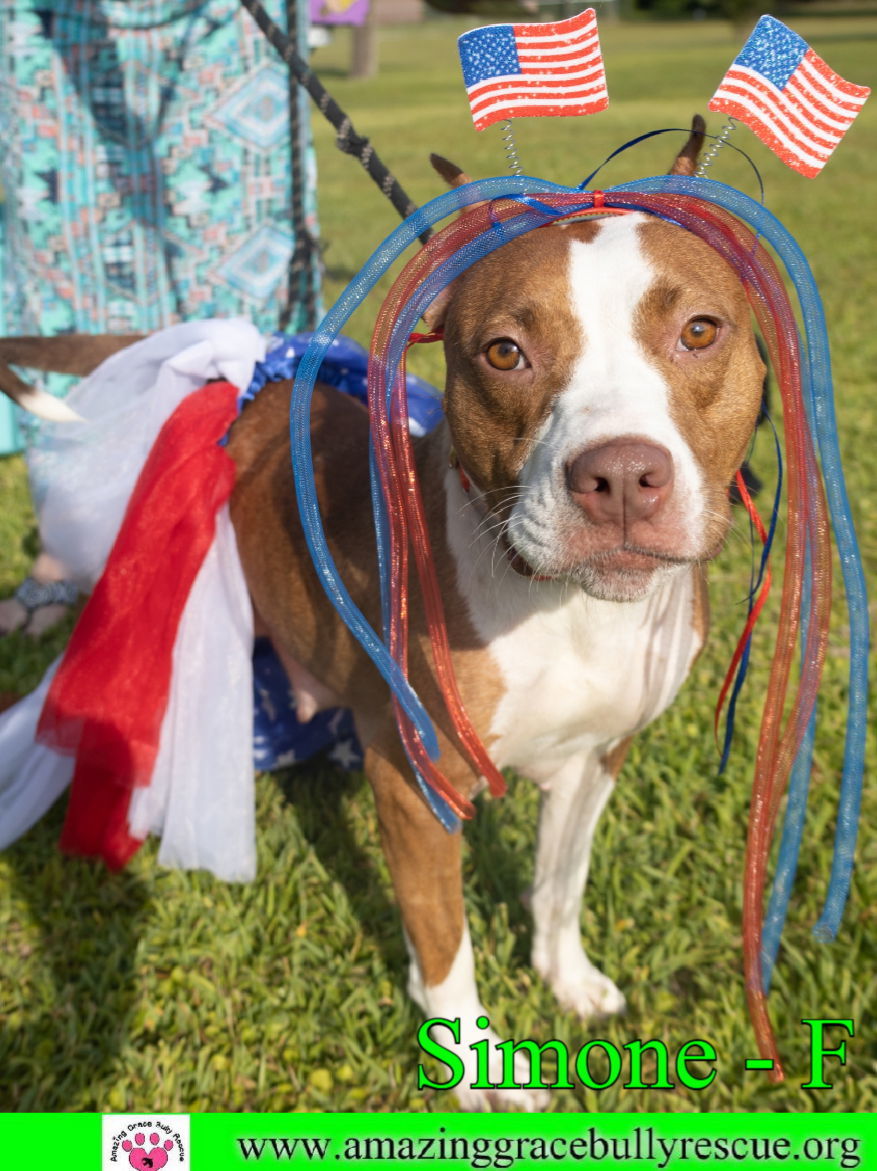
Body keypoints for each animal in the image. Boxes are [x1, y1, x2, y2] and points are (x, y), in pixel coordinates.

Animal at [0, 123, 763, 1110]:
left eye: (698, 331)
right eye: (504, 352)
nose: (622, 475)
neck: (563, 610)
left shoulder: (598, 758)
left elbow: (558, 884)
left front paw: (567, 979)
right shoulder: (413, 781)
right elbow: (445, 939)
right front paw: (478, 1071)